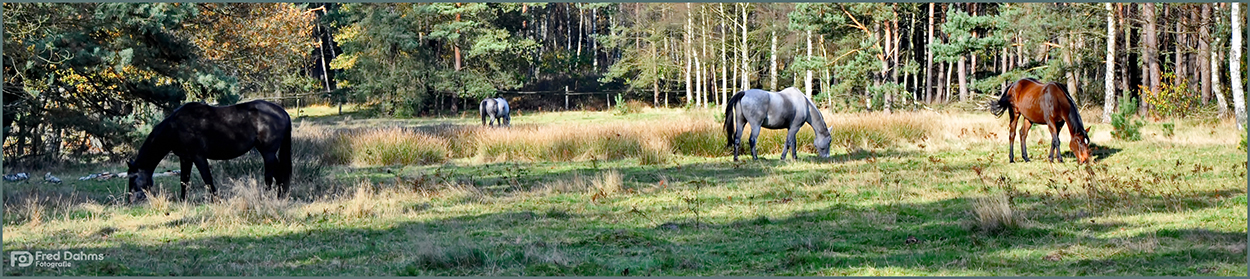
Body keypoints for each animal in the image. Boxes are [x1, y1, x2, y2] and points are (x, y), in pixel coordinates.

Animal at [127, 100, 292, 202]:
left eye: (133, 177)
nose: (130, 199)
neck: (175, 127)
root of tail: (282, 112)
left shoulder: (198, 156)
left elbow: (207, 179)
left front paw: (216, 200)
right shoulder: (185, 158)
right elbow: (184, 180)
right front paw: (182, 201)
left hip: (268, 153)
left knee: (270, 175)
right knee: (279, 175)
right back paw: (280, 197)